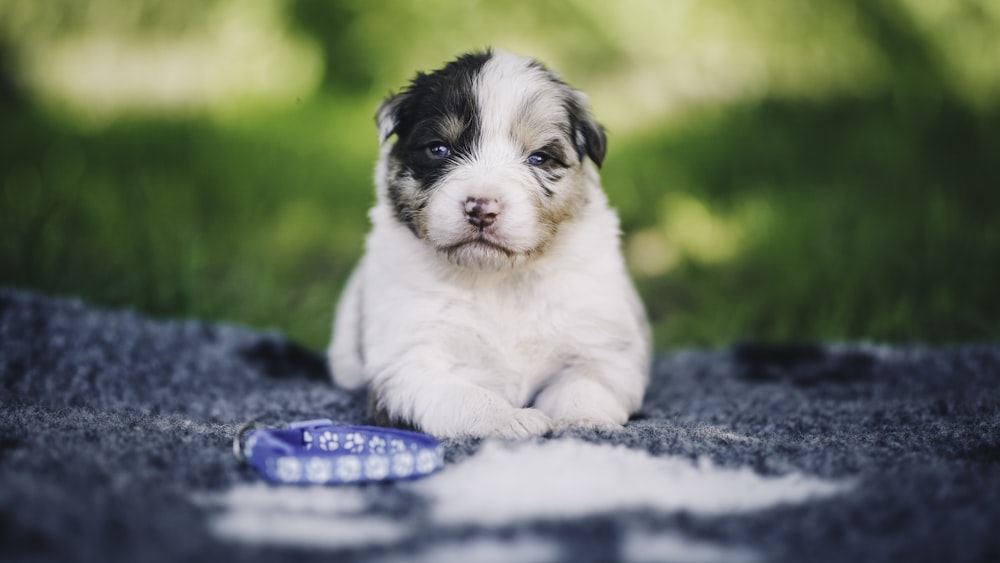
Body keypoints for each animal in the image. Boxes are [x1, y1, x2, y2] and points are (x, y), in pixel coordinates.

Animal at [332, 49, 652, 440]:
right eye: (438, 149)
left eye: (539, 158)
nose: (481, 208)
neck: (497, 279)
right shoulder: (405, 366)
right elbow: (462, 396)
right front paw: (511, 419)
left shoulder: (604, 350)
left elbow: (586, 385)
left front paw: (582, 421)